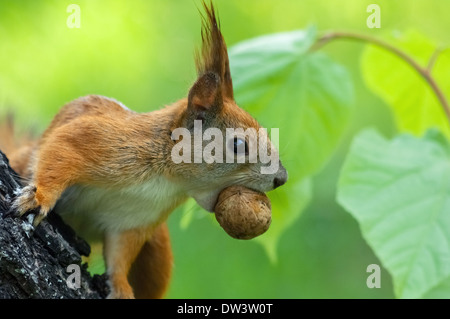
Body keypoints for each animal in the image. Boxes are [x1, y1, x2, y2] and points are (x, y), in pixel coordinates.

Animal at [0, 1, 286, 298]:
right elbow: (61, 150)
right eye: (239, 145)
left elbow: (121, 255)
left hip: (158, 245)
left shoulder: (133, 220)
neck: (167, 180)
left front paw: (121, 287)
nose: (282, 178)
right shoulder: (98, 140)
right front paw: (39, 197)